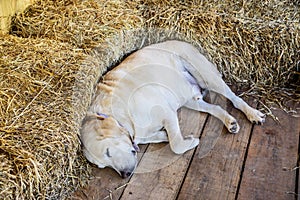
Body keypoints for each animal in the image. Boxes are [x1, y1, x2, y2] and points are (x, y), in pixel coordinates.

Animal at [80, 40, 264, 178]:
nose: (124, 175)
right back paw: (230, 122)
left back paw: (252, 114)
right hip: (189, 99)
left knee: (235, 99)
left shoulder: (166, 112)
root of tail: (183, 42)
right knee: (216, 107)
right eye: (103, 165)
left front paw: (190, 141)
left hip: (207, 77)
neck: (121, 116)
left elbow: (176, 144)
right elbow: (163, 137)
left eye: (108, 152)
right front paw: (169, 136)